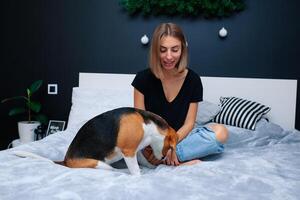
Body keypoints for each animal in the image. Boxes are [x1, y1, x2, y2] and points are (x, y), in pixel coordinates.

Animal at [14, 108, 177, 175]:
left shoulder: (135, 151)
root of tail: (66, 160)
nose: (163, 157)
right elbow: (135, 170)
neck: (146, 123)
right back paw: (124, 171)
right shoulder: (129, 151)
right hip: (97, 163)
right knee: (115, 170)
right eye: (169, 147)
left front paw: (152, 167)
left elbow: (144, 161)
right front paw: (140, 175)